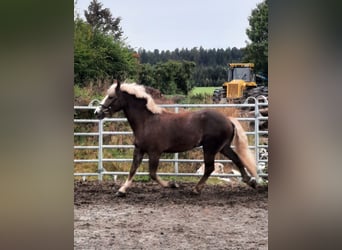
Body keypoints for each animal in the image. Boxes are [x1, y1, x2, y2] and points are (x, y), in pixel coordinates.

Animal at [95, 81, 260, 195]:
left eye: (111, 97)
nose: (97, 112)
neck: (147, 121)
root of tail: (228, 119)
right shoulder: (139, 150)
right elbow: (133, 169)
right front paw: (122, 190)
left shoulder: (154, 152)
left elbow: (152, 174)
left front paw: (172, 184)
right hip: (223, 147)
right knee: (237, 159)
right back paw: (251, 182)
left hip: (210, 148)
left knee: (210, 168)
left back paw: (196, 189)